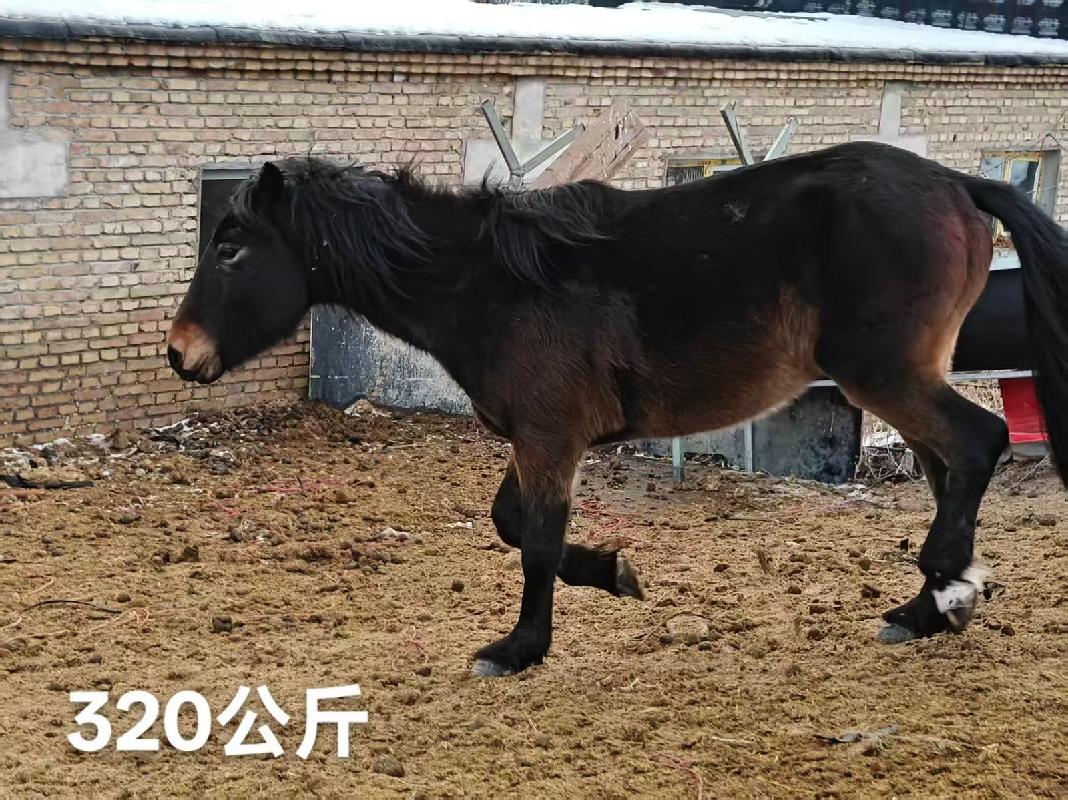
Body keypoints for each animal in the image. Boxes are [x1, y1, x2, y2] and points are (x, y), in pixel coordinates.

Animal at [167, 142, 1068, 677]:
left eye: (232, 246)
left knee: (979, 442)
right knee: (949, 468)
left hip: (880, 373)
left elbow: (533, 541)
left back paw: (938, 596)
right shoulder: (536, 437)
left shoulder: (549, 437)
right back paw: (939, 602)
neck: (494, 280)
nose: (181, 352)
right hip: (904, 375)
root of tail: (960, 183)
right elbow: (512, 526)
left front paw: (520, 649)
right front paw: (615, 573)